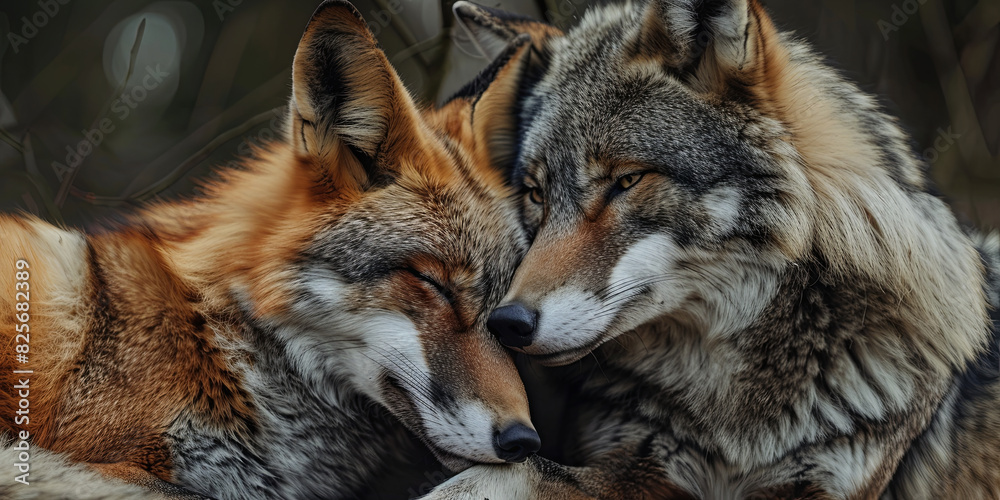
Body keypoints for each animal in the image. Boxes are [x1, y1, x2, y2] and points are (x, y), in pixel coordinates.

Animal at [425, 0, 1000, 499]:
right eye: (535, 194)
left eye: (627, 180)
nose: (508, 323)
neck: (732, 418)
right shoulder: (644, 463)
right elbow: (517, 472)